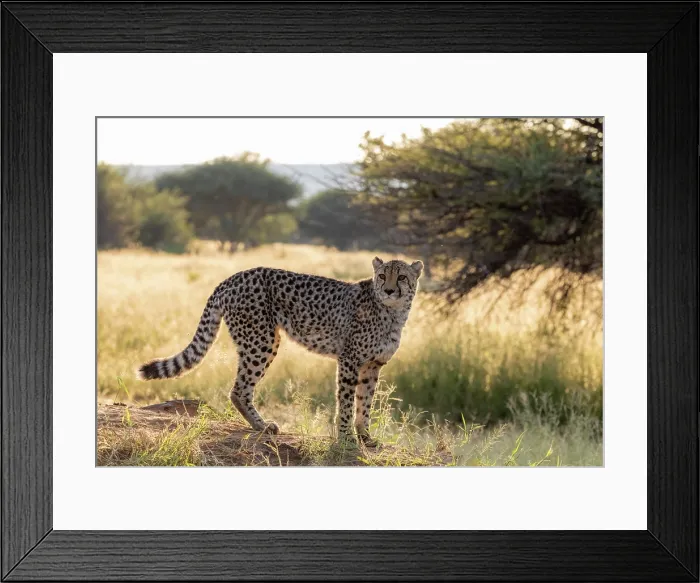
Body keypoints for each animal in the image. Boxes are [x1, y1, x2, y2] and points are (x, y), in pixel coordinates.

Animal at [137, 256, 423, 445]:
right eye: (382, 275)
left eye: (402, 277)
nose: (389, 290)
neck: (392, 312)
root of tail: (234, 276)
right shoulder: (349, 360)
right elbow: (346, 402)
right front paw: (346, 437)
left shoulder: (372, 365)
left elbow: (365, 403)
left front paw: (365, 436)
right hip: (261, 340)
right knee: (239, 389)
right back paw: (262, 426)